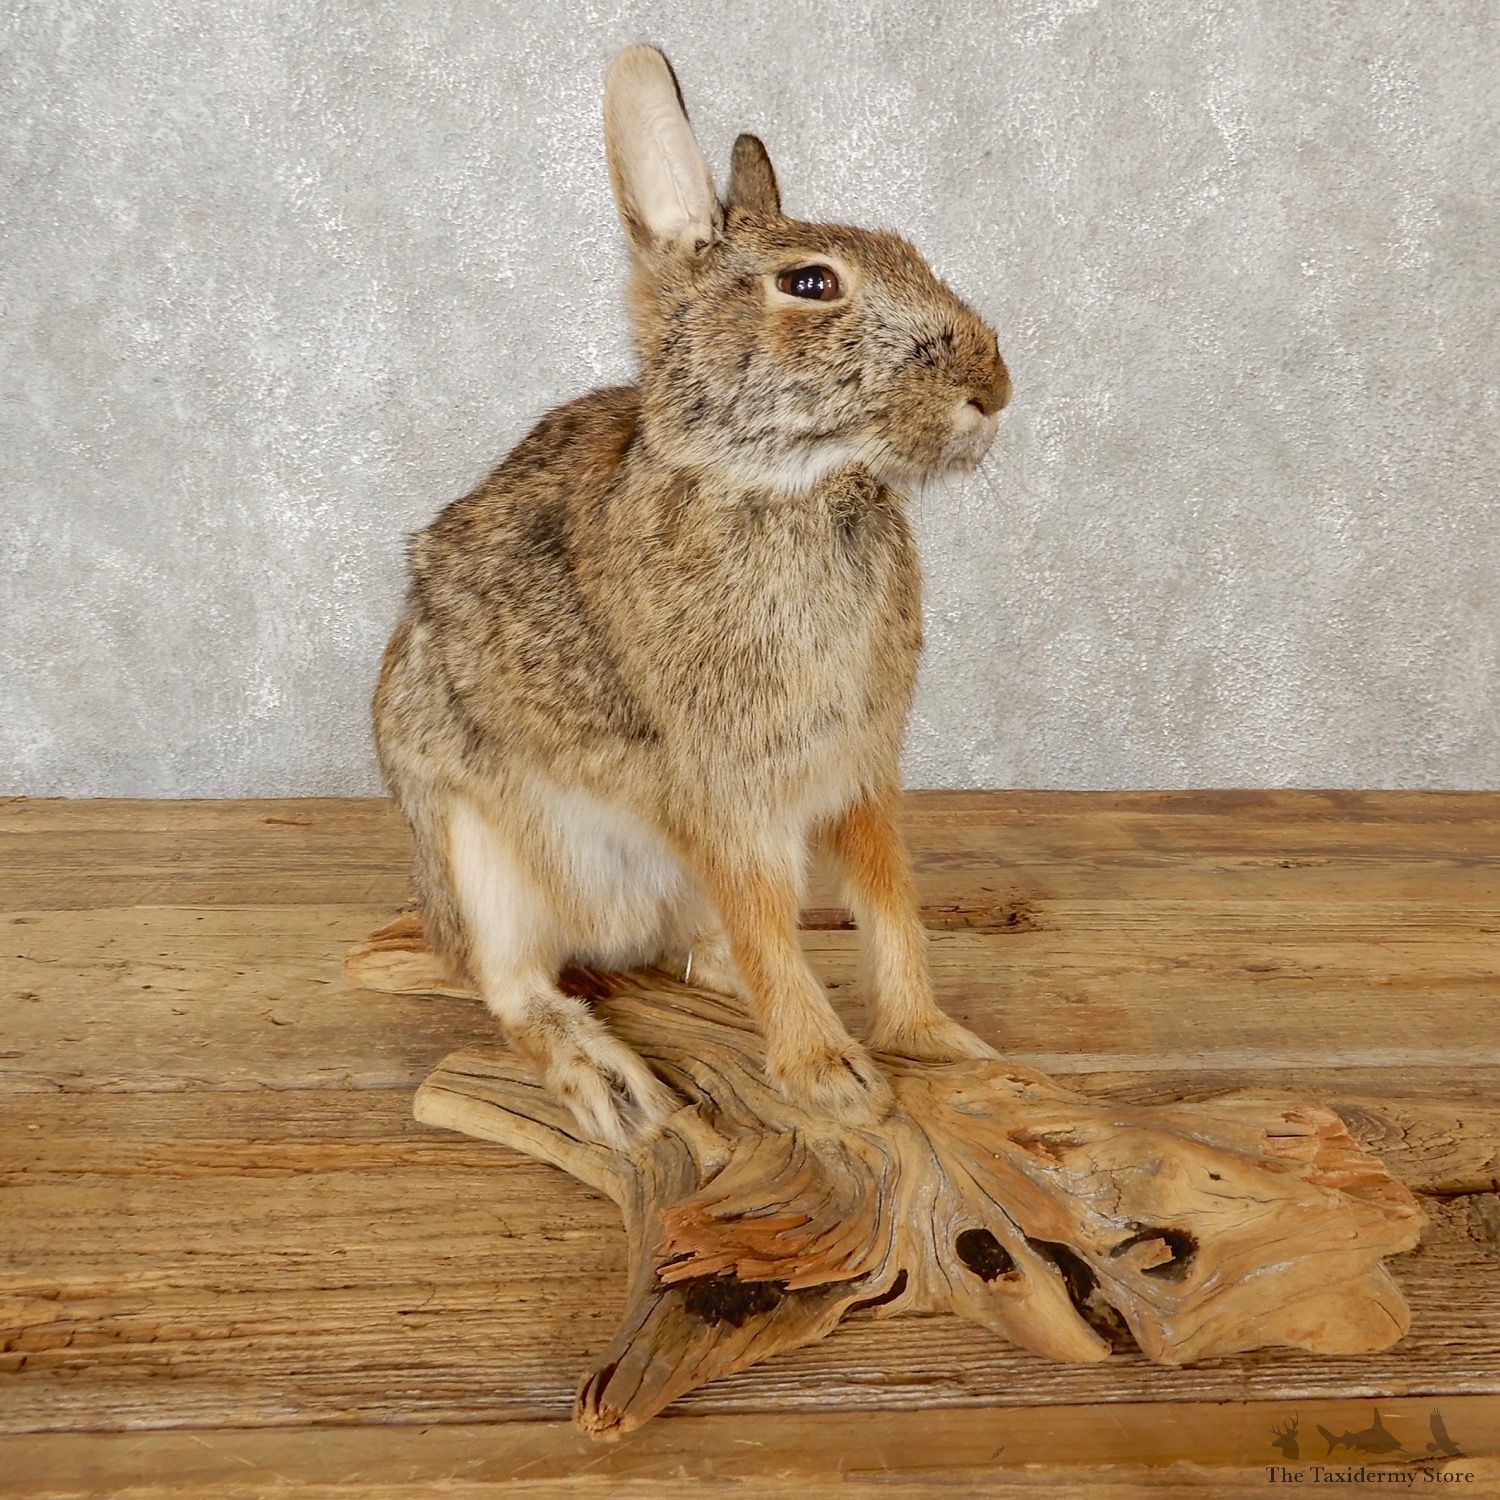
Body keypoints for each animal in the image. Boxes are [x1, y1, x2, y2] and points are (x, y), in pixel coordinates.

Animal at [373, 44, 1011, 1148]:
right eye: (811, 283)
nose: (994, 389)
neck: (786, 489)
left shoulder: (856, 771)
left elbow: (890, 904)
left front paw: (934, 1041)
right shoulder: (723, 789)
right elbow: (770, 929)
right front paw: (831, 1079)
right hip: (472, 853)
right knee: (516, 991)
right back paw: (609, 1087)